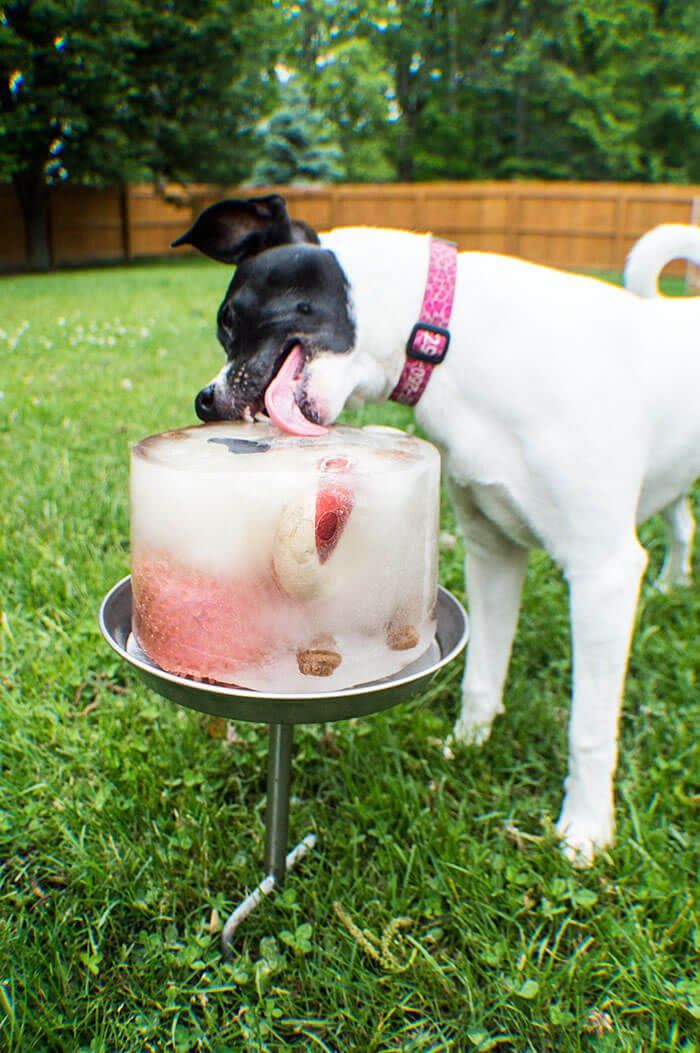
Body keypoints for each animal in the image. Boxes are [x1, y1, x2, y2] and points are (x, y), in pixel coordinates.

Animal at [174, 197, 698, 863]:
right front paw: (468, 744)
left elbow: (589, 729)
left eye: (230, 318)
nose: (204, 401)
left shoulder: (601, 572)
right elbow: (483, 675)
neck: (452, 340)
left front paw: (586, 829)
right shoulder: (492, 552)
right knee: (681, 522)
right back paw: (672, 585)